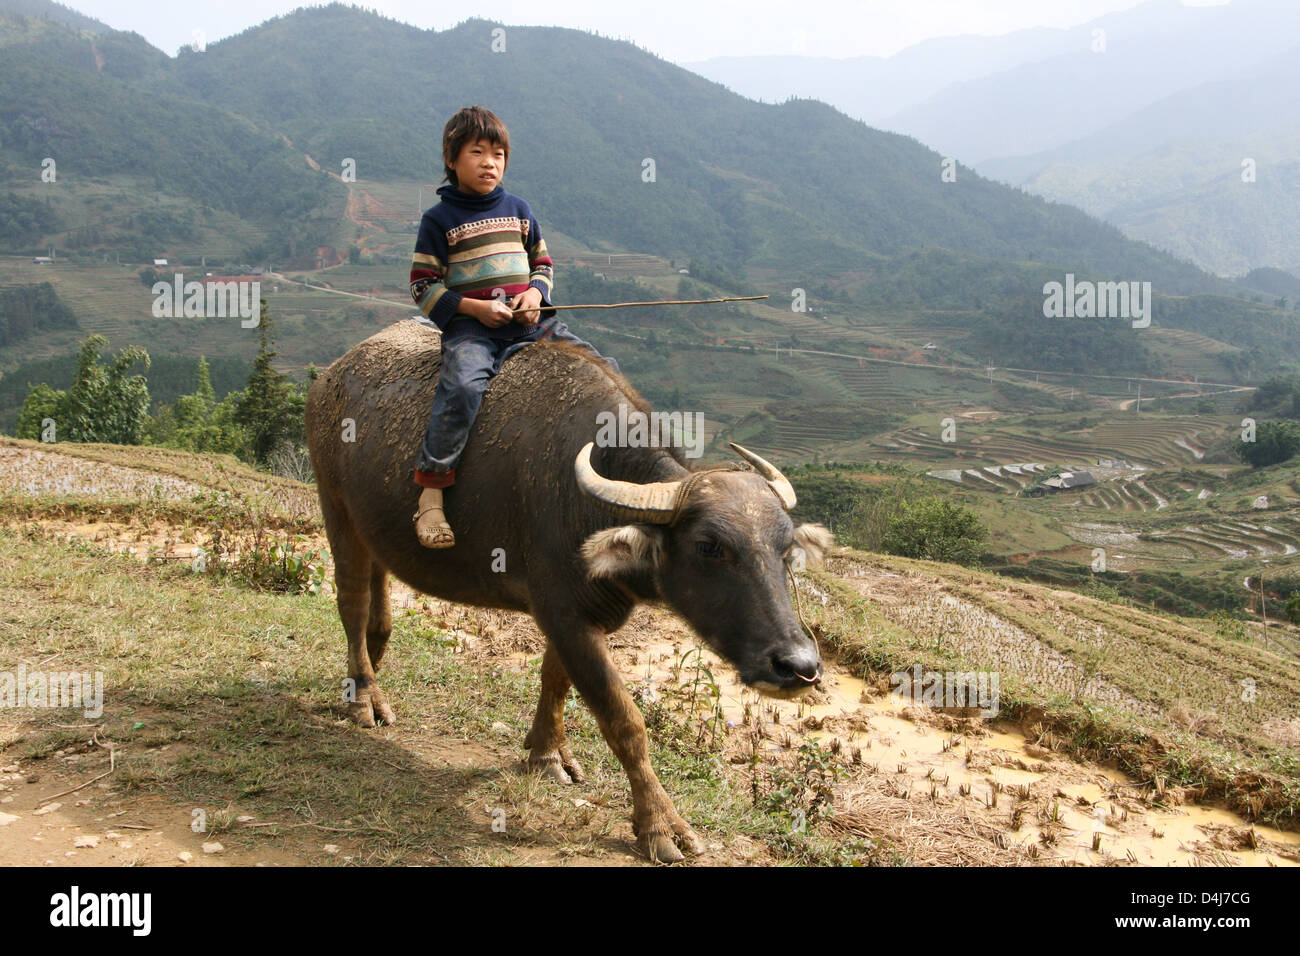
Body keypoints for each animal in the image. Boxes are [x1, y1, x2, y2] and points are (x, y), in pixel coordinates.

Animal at [305, 319, 832, 858]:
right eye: (709, 546)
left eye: (786, 548)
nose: (798, 666)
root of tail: (331, 377)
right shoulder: (565, 612)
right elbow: (623, 719)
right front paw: (662, 826)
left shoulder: (573, 613)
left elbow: (554, 679)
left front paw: (546, 754)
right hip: (334, 503)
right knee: (352, 601)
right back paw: (362, 697)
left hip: (374, 526)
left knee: (379, 609)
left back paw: (370, 674)